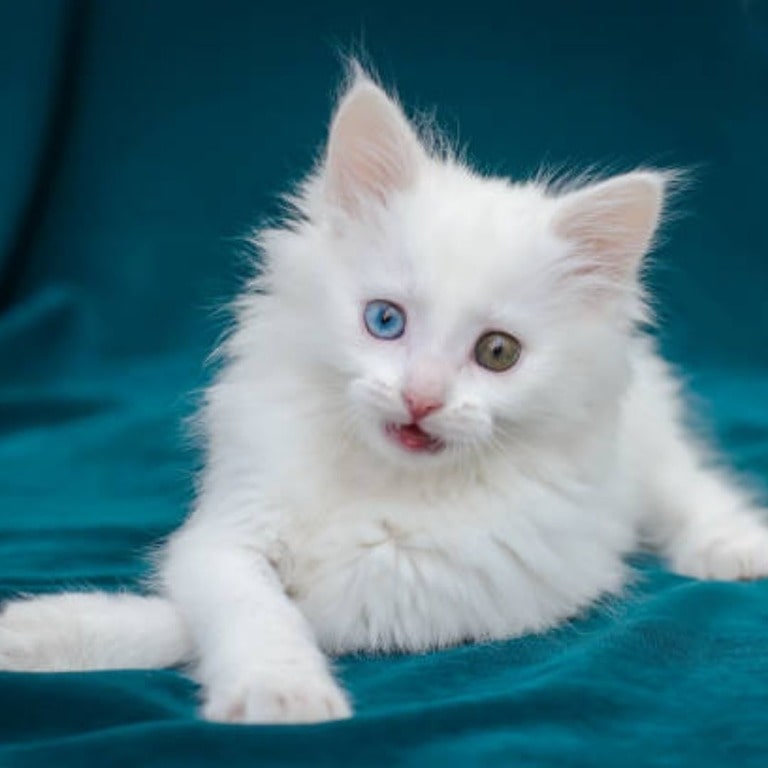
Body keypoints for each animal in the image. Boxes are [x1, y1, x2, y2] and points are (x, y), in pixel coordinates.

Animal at [1, 67, 768, 728]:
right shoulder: (229, 528)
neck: (383, 480)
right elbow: (242, 606)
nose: (421, 397)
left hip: (647, 444)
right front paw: (45, 632)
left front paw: (280, 695)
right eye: (384, 321)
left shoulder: (445, 591)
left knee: (689, 487)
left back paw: (734, 548)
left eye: (498, 353)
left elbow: (268, 614)